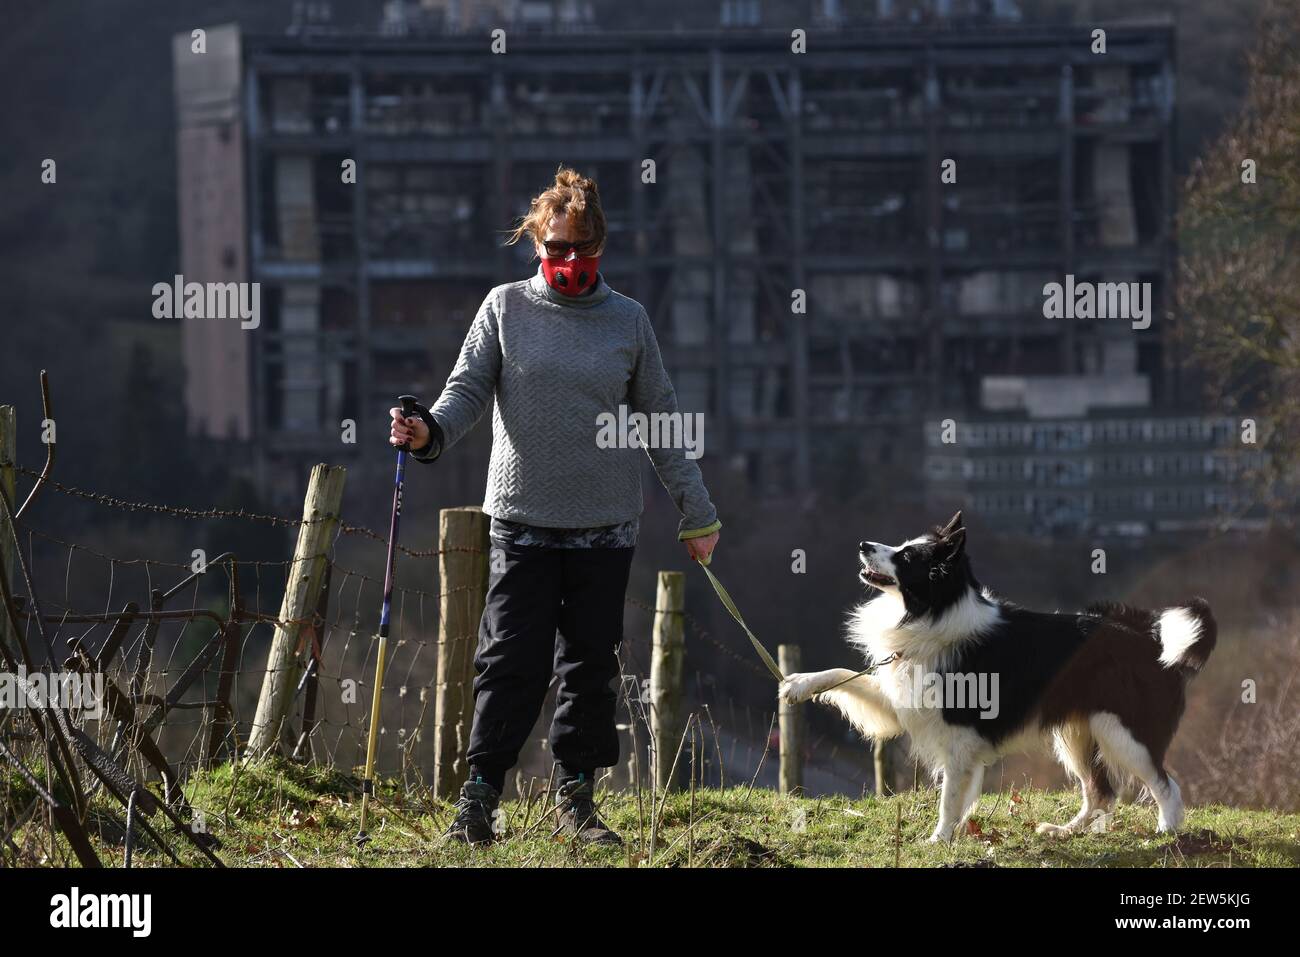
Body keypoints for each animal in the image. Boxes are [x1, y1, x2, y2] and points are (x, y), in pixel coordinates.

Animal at [780, 512, 1216, 842]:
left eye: (907, 557)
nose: (863, 545)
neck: (934, 612)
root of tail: (1152, 639)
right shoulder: (902, 701)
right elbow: (844, 674)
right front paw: (798, 683)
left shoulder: (959, 737)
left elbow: (949, 797)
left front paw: (939, 839)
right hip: (1077, 731)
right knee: (1100, 792)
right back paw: (1064, 831)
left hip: (1123, 733)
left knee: (1164, 784)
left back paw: (1165, 833)